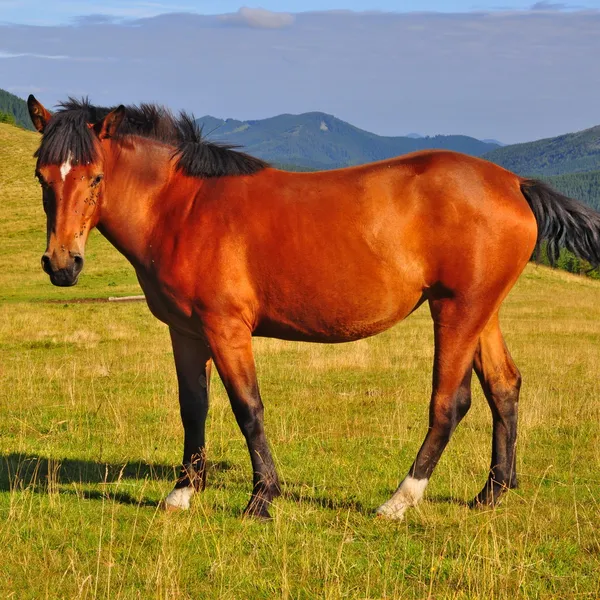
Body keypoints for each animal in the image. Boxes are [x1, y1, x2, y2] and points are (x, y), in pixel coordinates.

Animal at [28, 95, 600, 520]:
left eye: (95, 177)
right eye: (42, 177)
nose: (61, 264)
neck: (184, 208)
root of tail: (514, 183)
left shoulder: (226, 328)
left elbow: (247, 407)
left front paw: (261, 498)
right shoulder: (186, 332)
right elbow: (194, 406)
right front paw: (183, 490)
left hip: (456, 311)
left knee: (450, 403)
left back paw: (400, 500)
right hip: (481, 311)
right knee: (504, 387)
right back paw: (492, 493)